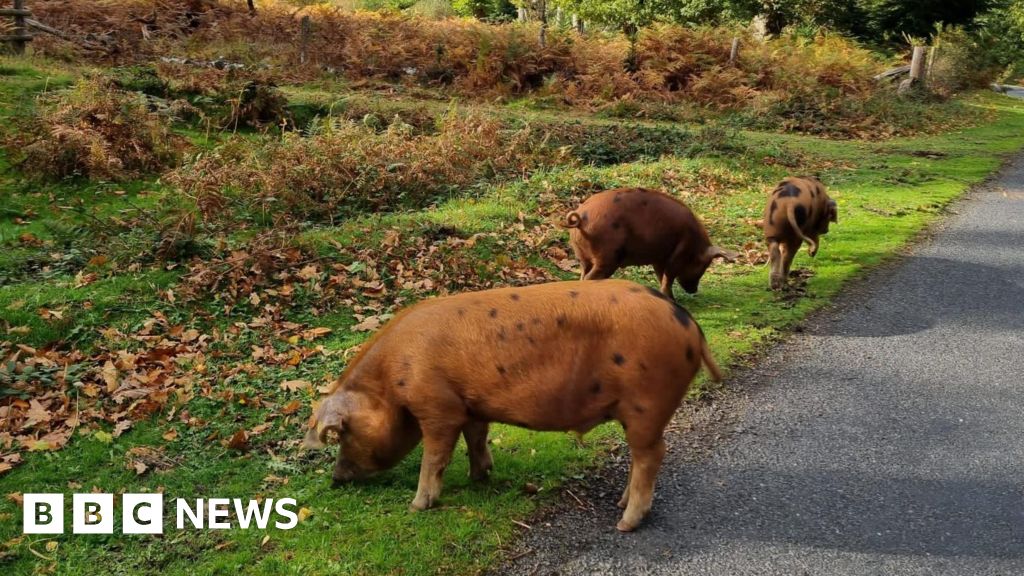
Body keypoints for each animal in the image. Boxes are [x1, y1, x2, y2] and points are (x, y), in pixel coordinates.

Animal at [303, 279, 722, 532]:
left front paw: (418, 506)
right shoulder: (469, 406)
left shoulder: (438, 407)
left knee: (652, 454)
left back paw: (625, 523)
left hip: (646, 404)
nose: (335, 479)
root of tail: (689, 324)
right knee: (641, 456)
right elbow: (476, 437)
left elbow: (434, 456)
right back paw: (620, 505)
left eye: (342, 434)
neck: (391, 380)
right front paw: (479, 477)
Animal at [563, 188, 737, 300]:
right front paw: (671, 300)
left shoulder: (659, 258)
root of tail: (581, 218)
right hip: (607, 257)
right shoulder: (679, 253)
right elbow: (669, 276)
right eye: (704, 265)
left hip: (582, 257)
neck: (695, 246)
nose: (694, 291)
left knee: (582, 276)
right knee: (589, 279)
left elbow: (661, 275)